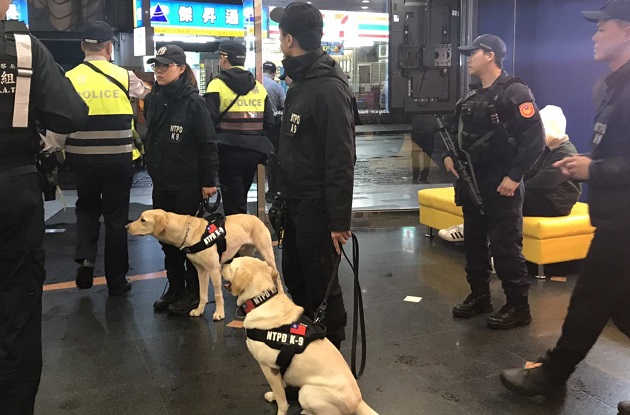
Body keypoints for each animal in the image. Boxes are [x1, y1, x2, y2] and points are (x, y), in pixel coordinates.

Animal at [127, 211, 282, 322]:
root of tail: (256, 217)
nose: (126, 227)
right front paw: (199, 310)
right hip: (245, 253)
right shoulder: (201, 271)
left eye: (143, 220)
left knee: (277, 275)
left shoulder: (214, 270)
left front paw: (219, 313)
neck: (188, 232)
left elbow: (218, 295)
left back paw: (280, 294)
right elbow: (202, 294)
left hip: (267, 254)